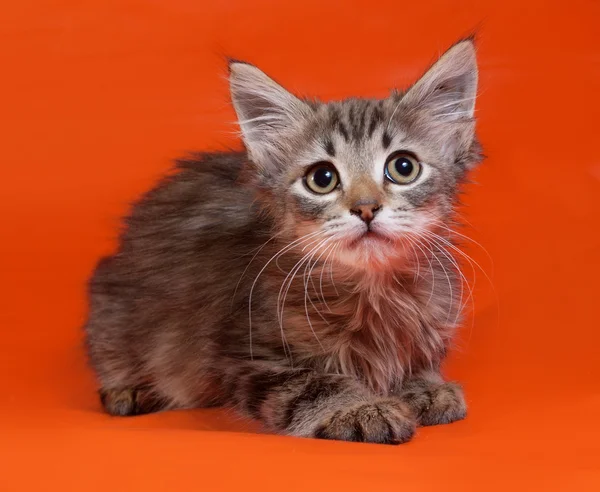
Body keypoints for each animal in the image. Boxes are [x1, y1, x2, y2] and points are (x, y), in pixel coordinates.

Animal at [83, 39, 482, 446]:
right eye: (322, 178)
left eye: (403, 168)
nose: (366, 208)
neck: (374, 289)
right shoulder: (248, 353)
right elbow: (314, 384)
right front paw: (360, 408)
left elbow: (417, 361)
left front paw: (423, 386)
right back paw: (130, 389)